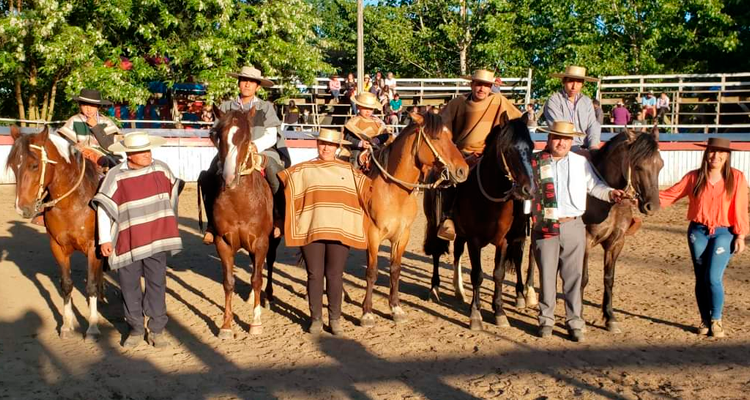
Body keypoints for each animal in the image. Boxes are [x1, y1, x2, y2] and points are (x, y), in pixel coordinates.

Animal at [6, 126, 104, 340]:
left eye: (34, 165)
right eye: (13, 166)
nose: (21, 208)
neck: (73, 203)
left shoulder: (93, 247)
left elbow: (91, 284)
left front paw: (93, 326)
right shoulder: (57, 246)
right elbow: (66, 284)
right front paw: (67, 325)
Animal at [198, 107, 280, 338]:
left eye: (246, 138)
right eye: (218, 135)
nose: (229, 177)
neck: (240, 202)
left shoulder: (261, 242)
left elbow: (257, 278)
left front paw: (256, 323)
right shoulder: (223, 243)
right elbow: (228, 282)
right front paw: (226, 325)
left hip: (272, 242)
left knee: (268, 265)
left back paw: (268, 296)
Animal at [360, 111, 470, 326]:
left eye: (451, 137)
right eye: (436, 137)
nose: (463, 170)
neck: (393, 191)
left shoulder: (402, 236)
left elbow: (395, 270)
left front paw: (396, 308)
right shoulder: (373, 236)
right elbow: (371, 272)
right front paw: (367, 313)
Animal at [426, 115, 536, 332]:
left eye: (531, 146)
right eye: (508, 149)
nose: (528, 189)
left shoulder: (503, 241)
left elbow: (498, 274)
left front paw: (499, 312)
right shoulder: (474, 241)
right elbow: (477, 275)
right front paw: (475, 314)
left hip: (461, 234)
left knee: (457, 253)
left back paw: (459, 290)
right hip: (435, 225)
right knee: (435, 253)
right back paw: (434, 287)